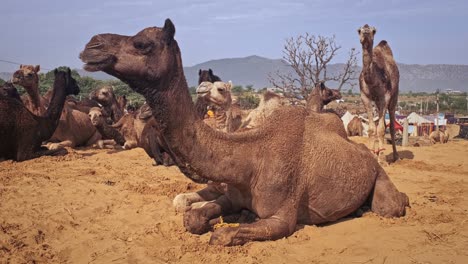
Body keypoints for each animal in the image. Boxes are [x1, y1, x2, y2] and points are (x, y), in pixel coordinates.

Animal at [358, 24, 398, 163]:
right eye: (358, 30)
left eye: (373, 31)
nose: (365, 32)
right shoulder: (365, 97)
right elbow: (371, 129)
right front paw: (372, 155)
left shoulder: (385, 97)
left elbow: (380, 129)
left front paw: (382, 159)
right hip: (377, 102)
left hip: (394, 97)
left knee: (391, 126)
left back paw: (395, 156)